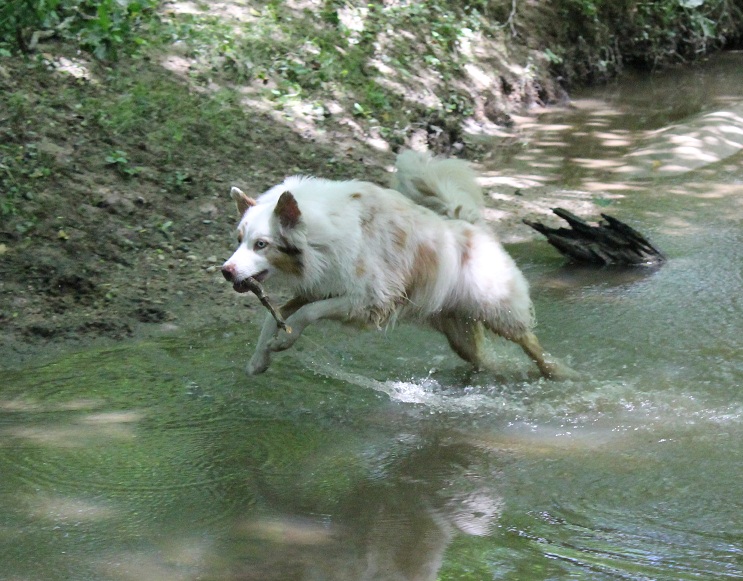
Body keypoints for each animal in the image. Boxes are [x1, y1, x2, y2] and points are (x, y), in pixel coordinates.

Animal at [221, 148, 568, 376]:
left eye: (261, 244)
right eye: (238, 239)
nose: (226, 271)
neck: (321, 236)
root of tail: (472, 225)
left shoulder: (369, 300)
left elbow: (306, 315)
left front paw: (283, 341)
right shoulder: (318, 288)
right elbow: (274, 318)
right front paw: (259, 358)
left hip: (499, 310)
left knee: (530, 342)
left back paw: (559, 373)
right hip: (459, 331)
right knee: (483, 359)